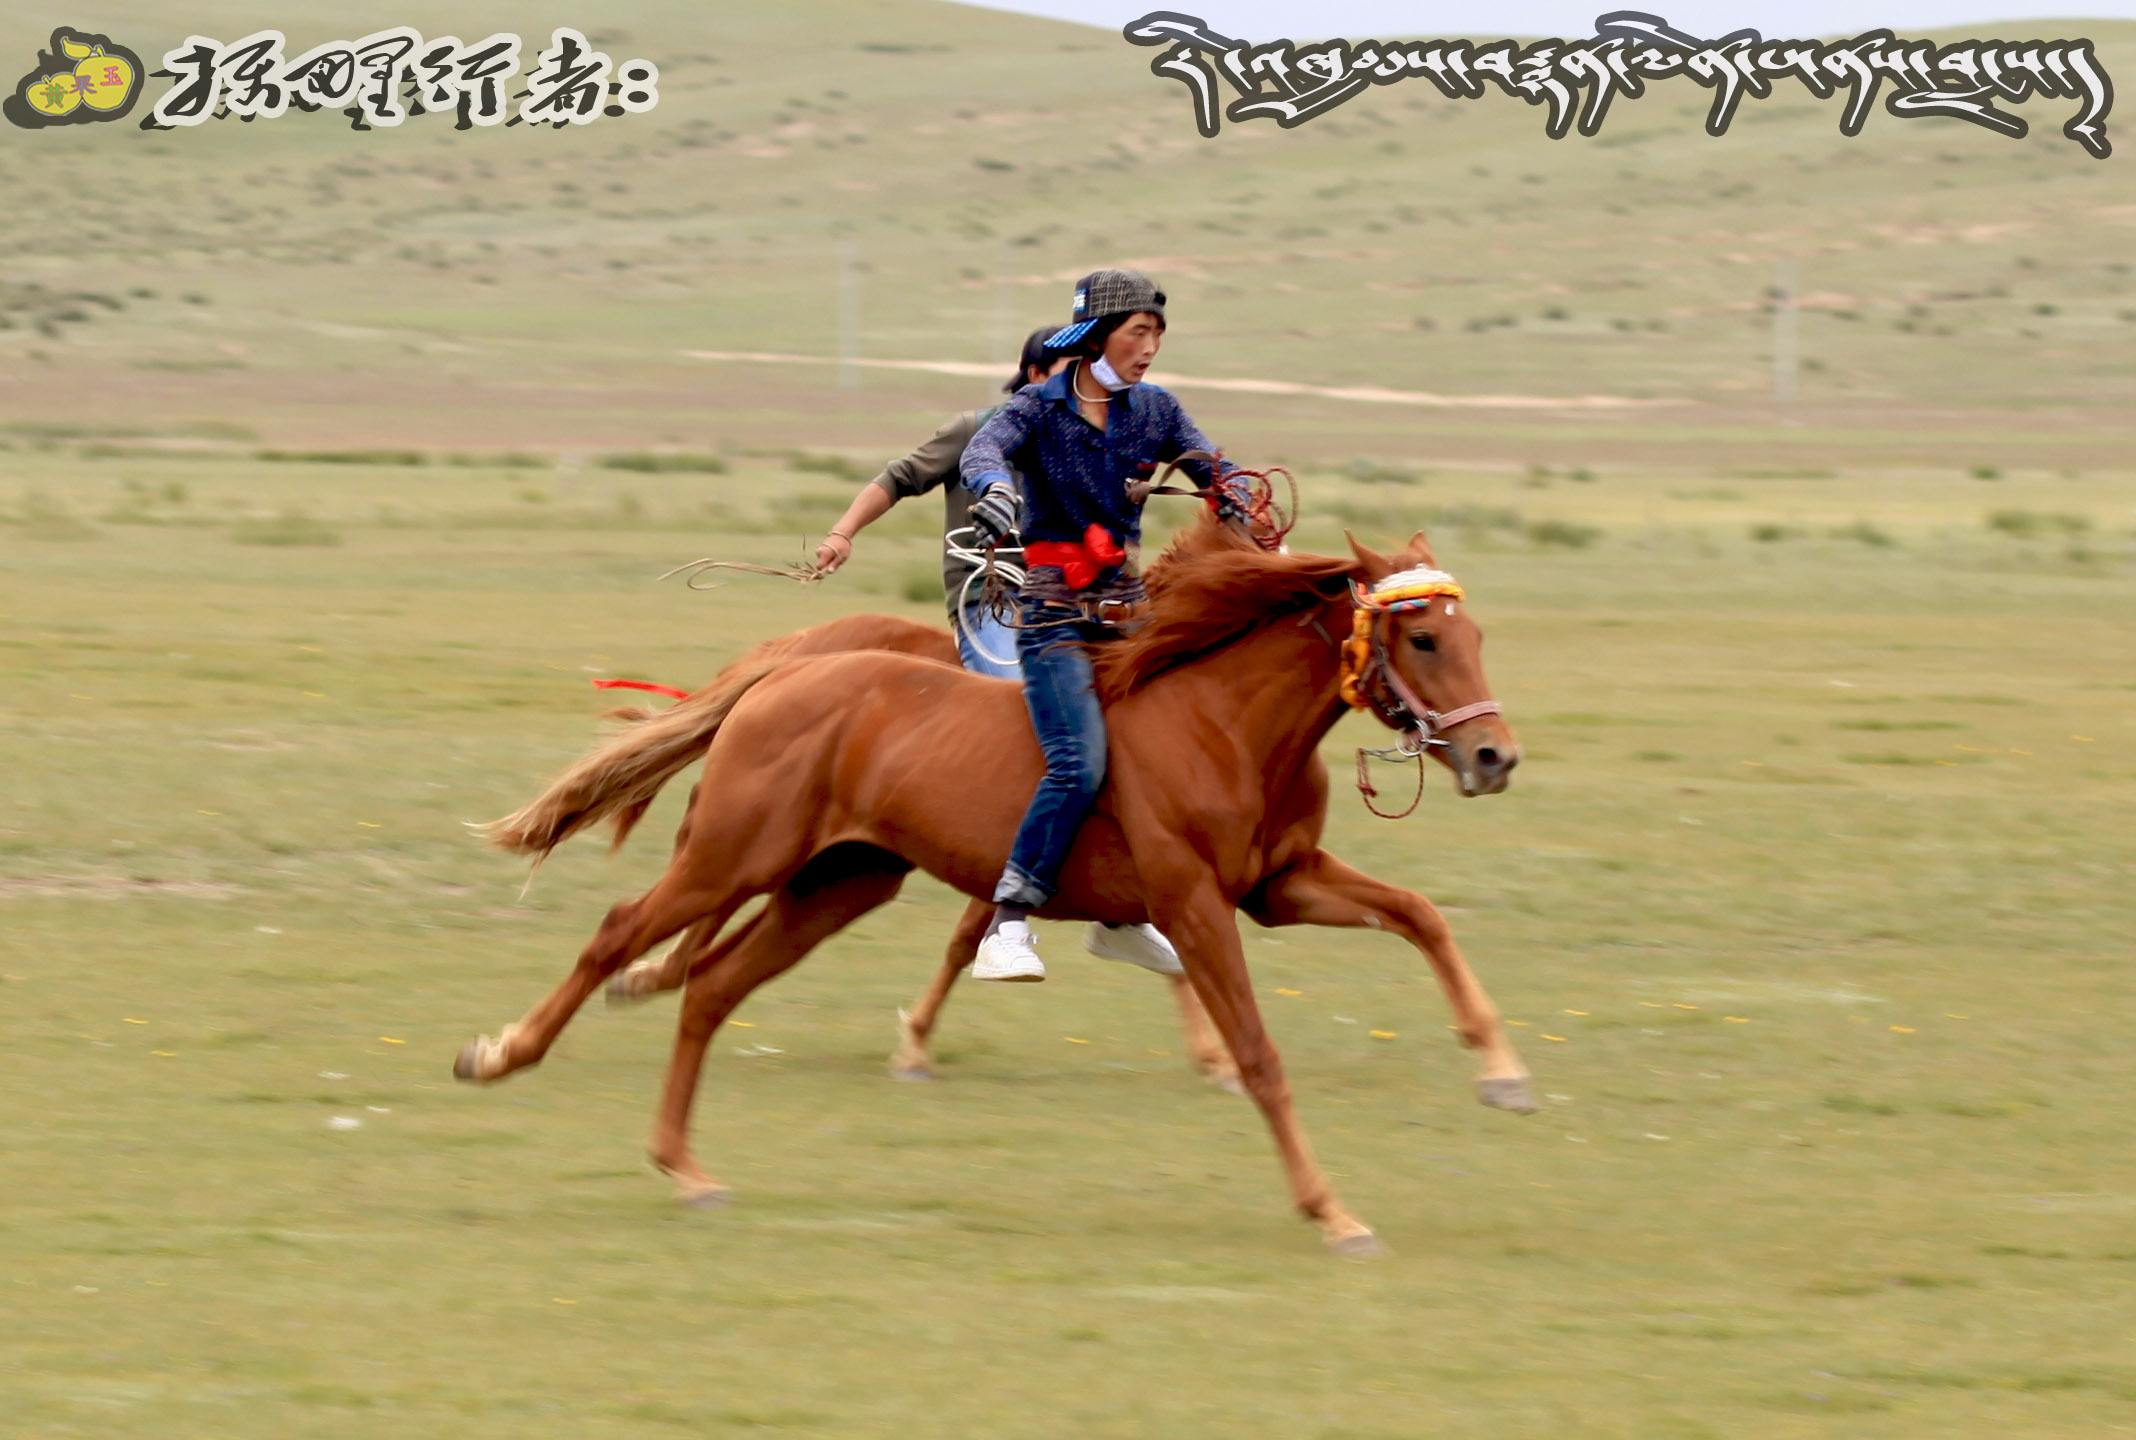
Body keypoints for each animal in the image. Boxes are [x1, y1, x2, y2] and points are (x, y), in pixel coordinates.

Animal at [467, 517, 1537, 1247]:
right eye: (1424, 640)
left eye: (1477, 636)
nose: (1494, 758)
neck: (1222, 722)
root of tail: (782, 675)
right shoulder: (1194, 904)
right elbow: (1260, 1054)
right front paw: (1331, 1210)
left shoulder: (1281, 887)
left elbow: (1421, 916)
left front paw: (1501, 1070)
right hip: (733, 855)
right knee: (624, 931)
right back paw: (503, 1053)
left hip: (838, 883)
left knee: (713, 987)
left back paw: (685, 1167)